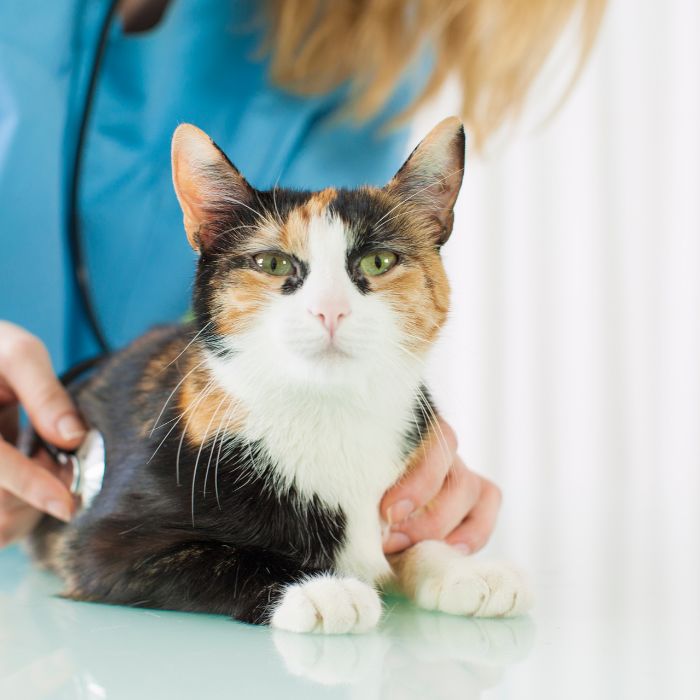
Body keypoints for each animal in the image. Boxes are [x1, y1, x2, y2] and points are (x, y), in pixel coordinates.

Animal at [30, 117, 528, 632]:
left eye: (378, 261)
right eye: (272, 263)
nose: (330, 310)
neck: (328, 413)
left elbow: (413, 539)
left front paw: (462, 568)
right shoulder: (100, 545)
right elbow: (225, 557)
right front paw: (320, 588)